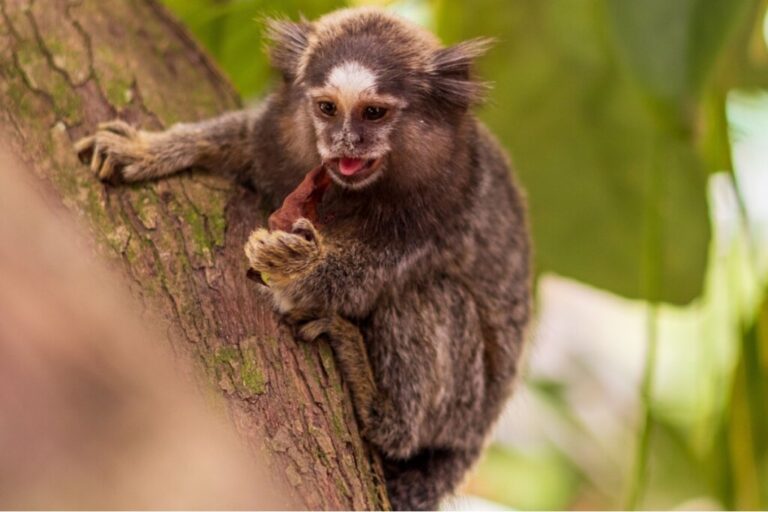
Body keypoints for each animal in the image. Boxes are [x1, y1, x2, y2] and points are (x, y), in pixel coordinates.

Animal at [75, 8, 532, 510]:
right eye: (327, 108)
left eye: (373, 112)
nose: (345, 142)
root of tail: (471, 439)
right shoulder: (274, 139)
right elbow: (237, 139)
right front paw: (149, 149)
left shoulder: (440, 208)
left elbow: (353, 281)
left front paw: (294, 263)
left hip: (459, 407)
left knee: (430, 298)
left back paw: (374, 398)